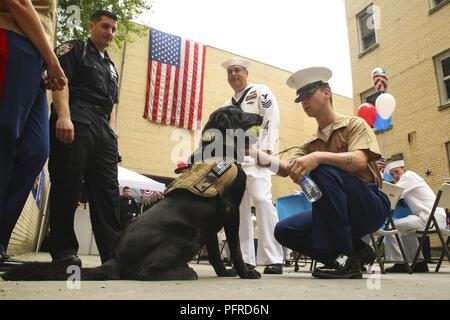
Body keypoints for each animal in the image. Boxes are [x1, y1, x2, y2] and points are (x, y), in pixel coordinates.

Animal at [3, 105, 262, 280]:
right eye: (240, 114)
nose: (260, 116)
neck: (221, 150)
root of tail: (114, 261)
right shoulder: (230, 209)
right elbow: (236, 247)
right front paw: (245, 272)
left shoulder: (210, 225)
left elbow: (217, 255)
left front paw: (224, 272)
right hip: (187, 238)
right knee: (144, 273)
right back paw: (184, 272)